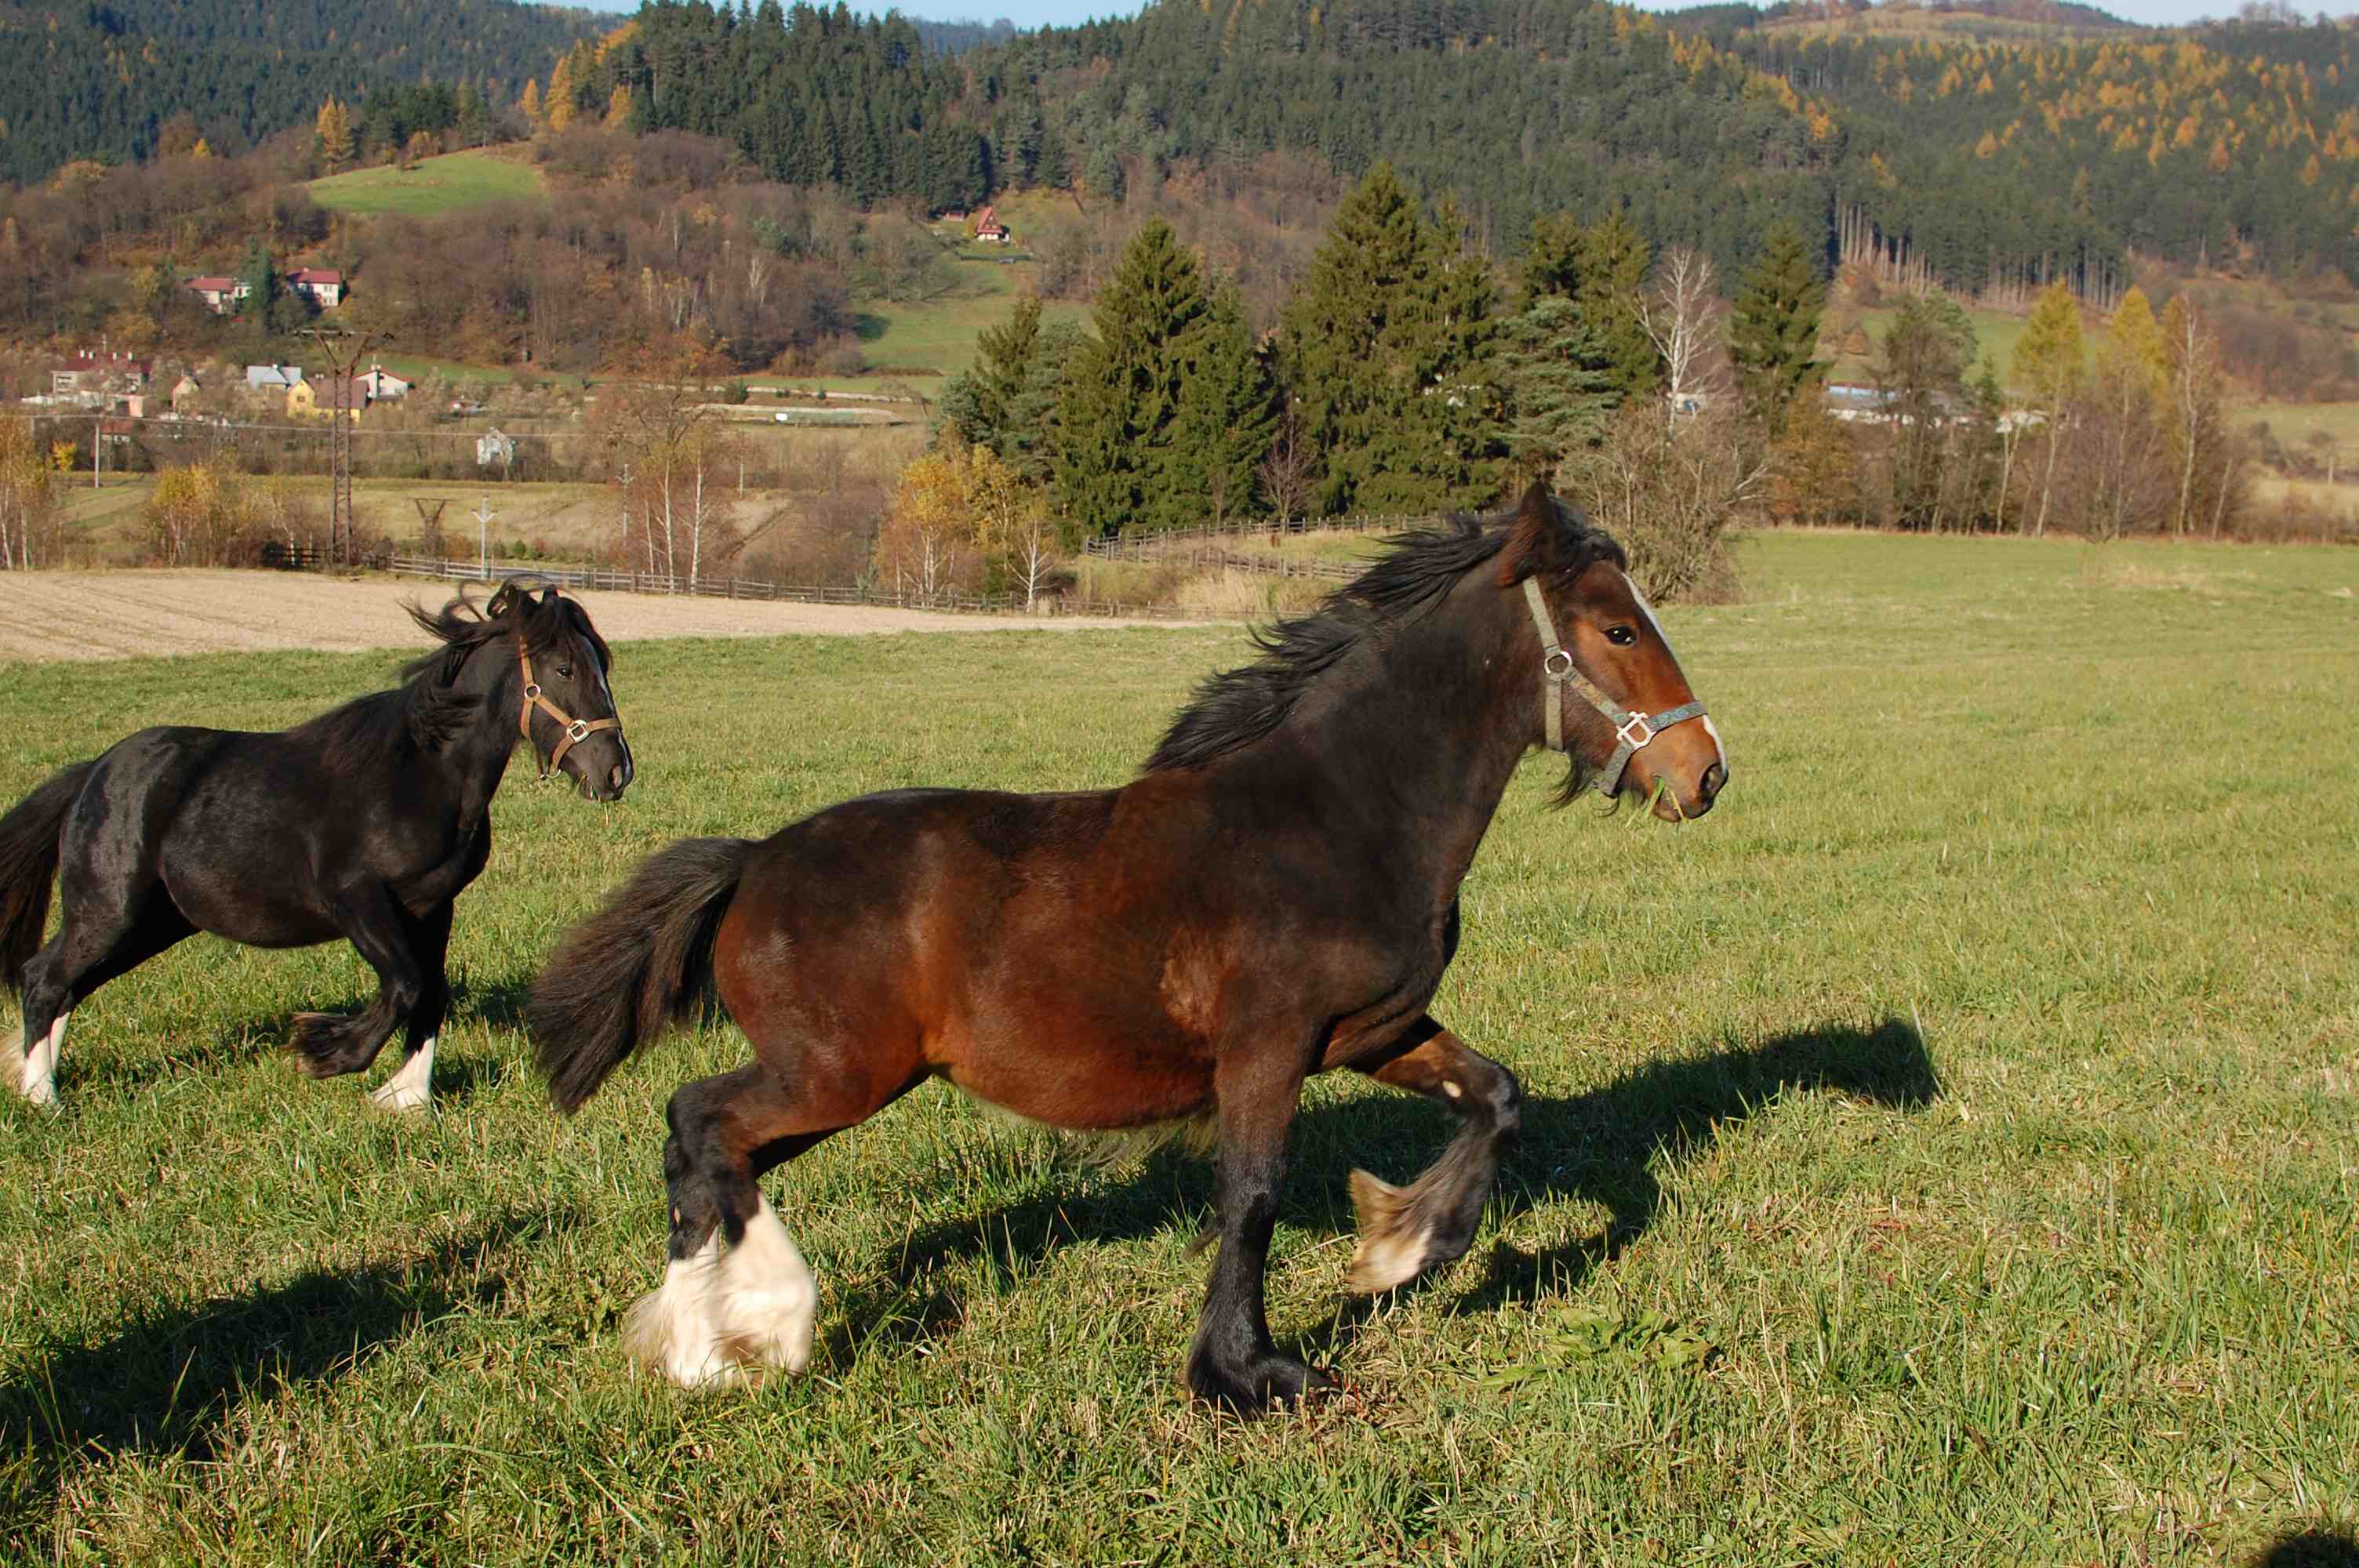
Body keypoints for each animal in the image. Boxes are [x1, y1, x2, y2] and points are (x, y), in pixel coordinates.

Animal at [0, 581, 632, 1114]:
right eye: (563, 667)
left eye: (604, 664)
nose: (616, 770)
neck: (421, 772)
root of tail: (94, 771)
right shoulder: (357, 901)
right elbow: (405, 986)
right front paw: (326, 1052)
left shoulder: (433, 906)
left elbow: (433, 993)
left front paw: (408, 1101)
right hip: (110, 911)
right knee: (43, 978)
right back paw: (41, 1098)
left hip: (154, 922)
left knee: (66, 986)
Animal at [527, 481, 1725, 1409]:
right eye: (1617, 631)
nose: (1705, 772)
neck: (1338, 815)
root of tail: (754, 862)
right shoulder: (1266, 1052)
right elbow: (1253, 1195)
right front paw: (1251, 1374)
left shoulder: (1373, 1031)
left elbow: (1496, 1097)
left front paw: (1397, 1249)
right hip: (835, 1073)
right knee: (699, 1126)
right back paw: (744, 1332)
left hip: (837, 1082)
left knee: (709, 1157)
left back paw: (719, 1340)